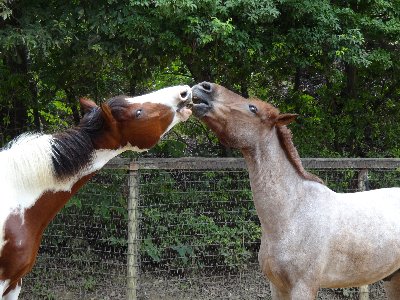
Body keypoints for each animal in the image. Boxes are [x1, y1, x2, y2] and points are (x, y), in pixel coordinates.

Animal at [192, 81, 400, 298]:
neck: (292, 213)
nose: (204, 87)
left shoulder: (303, 287)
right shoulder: (277, 286)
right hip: (393, 279)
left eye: (253, 108)